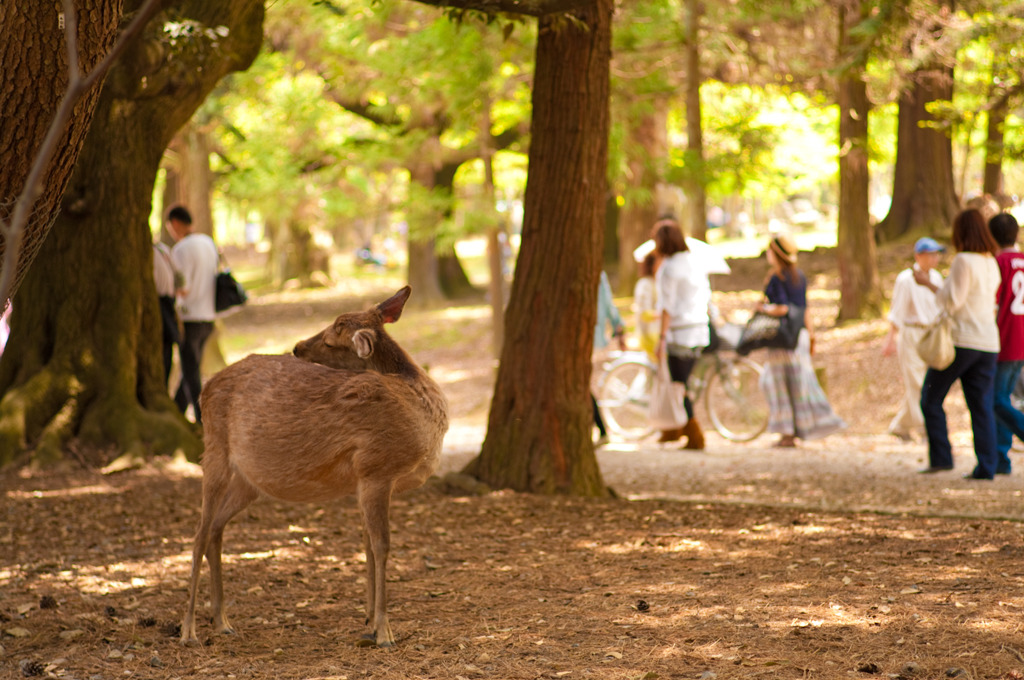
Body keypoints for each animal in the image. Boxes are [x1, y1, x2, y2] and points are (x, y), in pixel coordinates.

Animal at [182, 286, 446, 647]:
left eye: (333, 337)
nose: (297, 347)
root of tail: (205, 390)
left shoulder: (363, 482)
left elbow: (367, 543)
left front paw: (368, 622)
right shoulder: (375, 467)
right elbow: (382, 545)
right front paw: (384, 631)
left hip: (248, 481)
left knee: (215, 529)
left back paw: (222, 621)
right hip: (213, 450)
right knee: (197, 534)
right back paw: (188, 630)